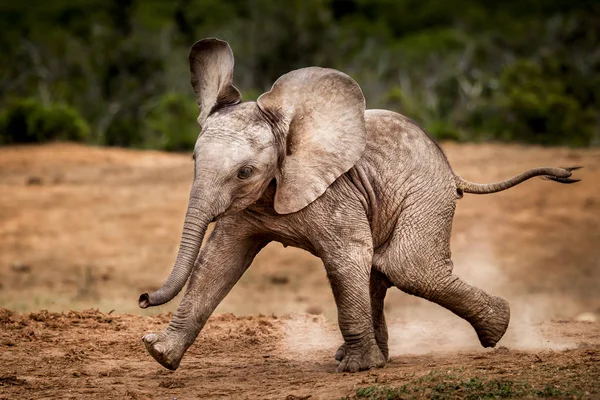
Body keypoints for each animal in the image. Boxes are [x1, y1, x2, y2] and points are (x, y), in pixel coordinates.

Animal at [138, 37, 580, 372]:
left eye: (245, 172)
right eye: (194, 160)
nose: (142, 298)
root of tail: (453, 171)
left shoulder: (334, 192)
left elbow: (345, 257)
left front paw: (356, 369)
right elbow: (218, 261)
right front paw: (159, 354)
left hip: (426, 195)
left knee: (406, 267)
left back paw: (497, 330)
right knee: (379, 270)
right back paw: (381, 356)